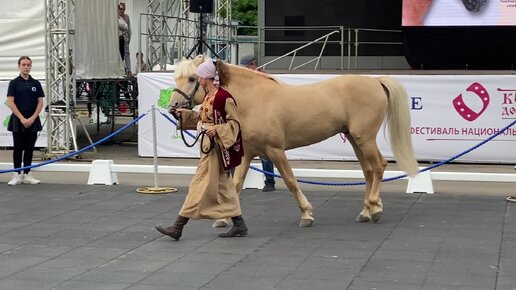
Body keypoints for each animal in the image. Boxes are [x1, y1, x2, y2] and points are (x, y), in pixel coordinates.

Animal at [169, 55, 420, 225]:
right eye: (176, 77)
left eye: (192, 78)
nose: (174, 107)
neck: (252, 99)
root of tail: (376, 81)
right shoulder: (248, 153)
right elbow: (236, 184)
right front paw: (224, 219)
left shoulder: (275, 151)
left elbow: (290, 180)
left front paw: (306, 214)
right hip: (354, 138)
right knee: (368, 171)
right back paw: (366, 212)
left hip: (364, 138)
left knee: (378, 166)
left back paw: (375, 209)